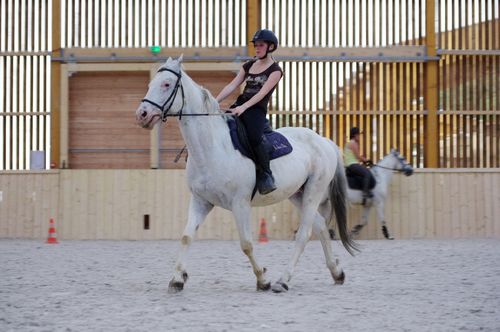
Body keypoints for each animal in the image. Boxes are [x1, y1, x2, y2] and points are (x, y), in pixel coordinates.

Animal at [135, 56, 358, 294]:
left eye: (167, 84)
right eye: (150, 83)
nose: (142, 114)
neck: (212, 147)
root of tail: (324, 141)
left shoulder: (239, 203)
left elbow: (246, 244)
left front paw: (263, 279)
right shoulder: (200, 201)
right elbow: (186, 237)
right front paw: (177, 279)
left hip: (313, 193)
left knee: (304, 234)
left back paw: (283, 281)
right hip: (297, 194)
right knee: (321, 226)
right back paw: (336, 272)